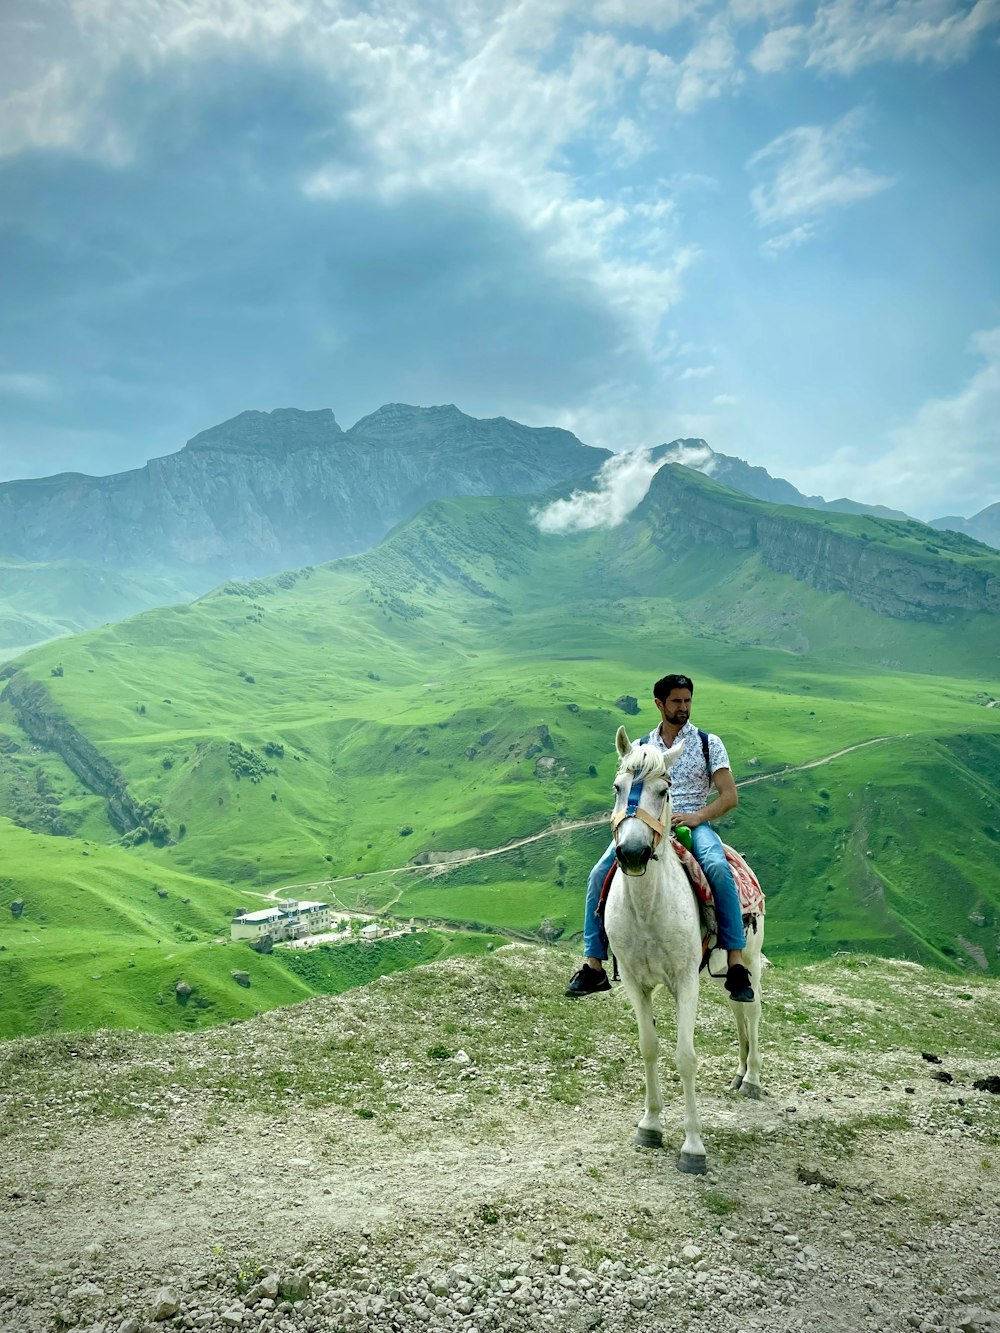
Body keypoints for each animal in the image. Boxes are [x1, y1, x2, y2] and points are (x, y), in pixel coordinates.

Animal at [602, 725, 768, 1173]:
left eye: (664, 790)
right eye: (618, 787)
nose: (633, 853)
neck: (647, 908)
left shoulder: (683, 982)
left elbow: (686, 1057)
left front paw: (693, 1147)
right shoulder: (636, 983)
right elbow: (649, 1048)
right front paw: (650, 1125)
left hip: (749, 959)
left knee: (752, 1010)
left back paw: (752, 1079)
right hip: (725, 971)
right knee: (736, 1007)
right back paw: (739, 1073)